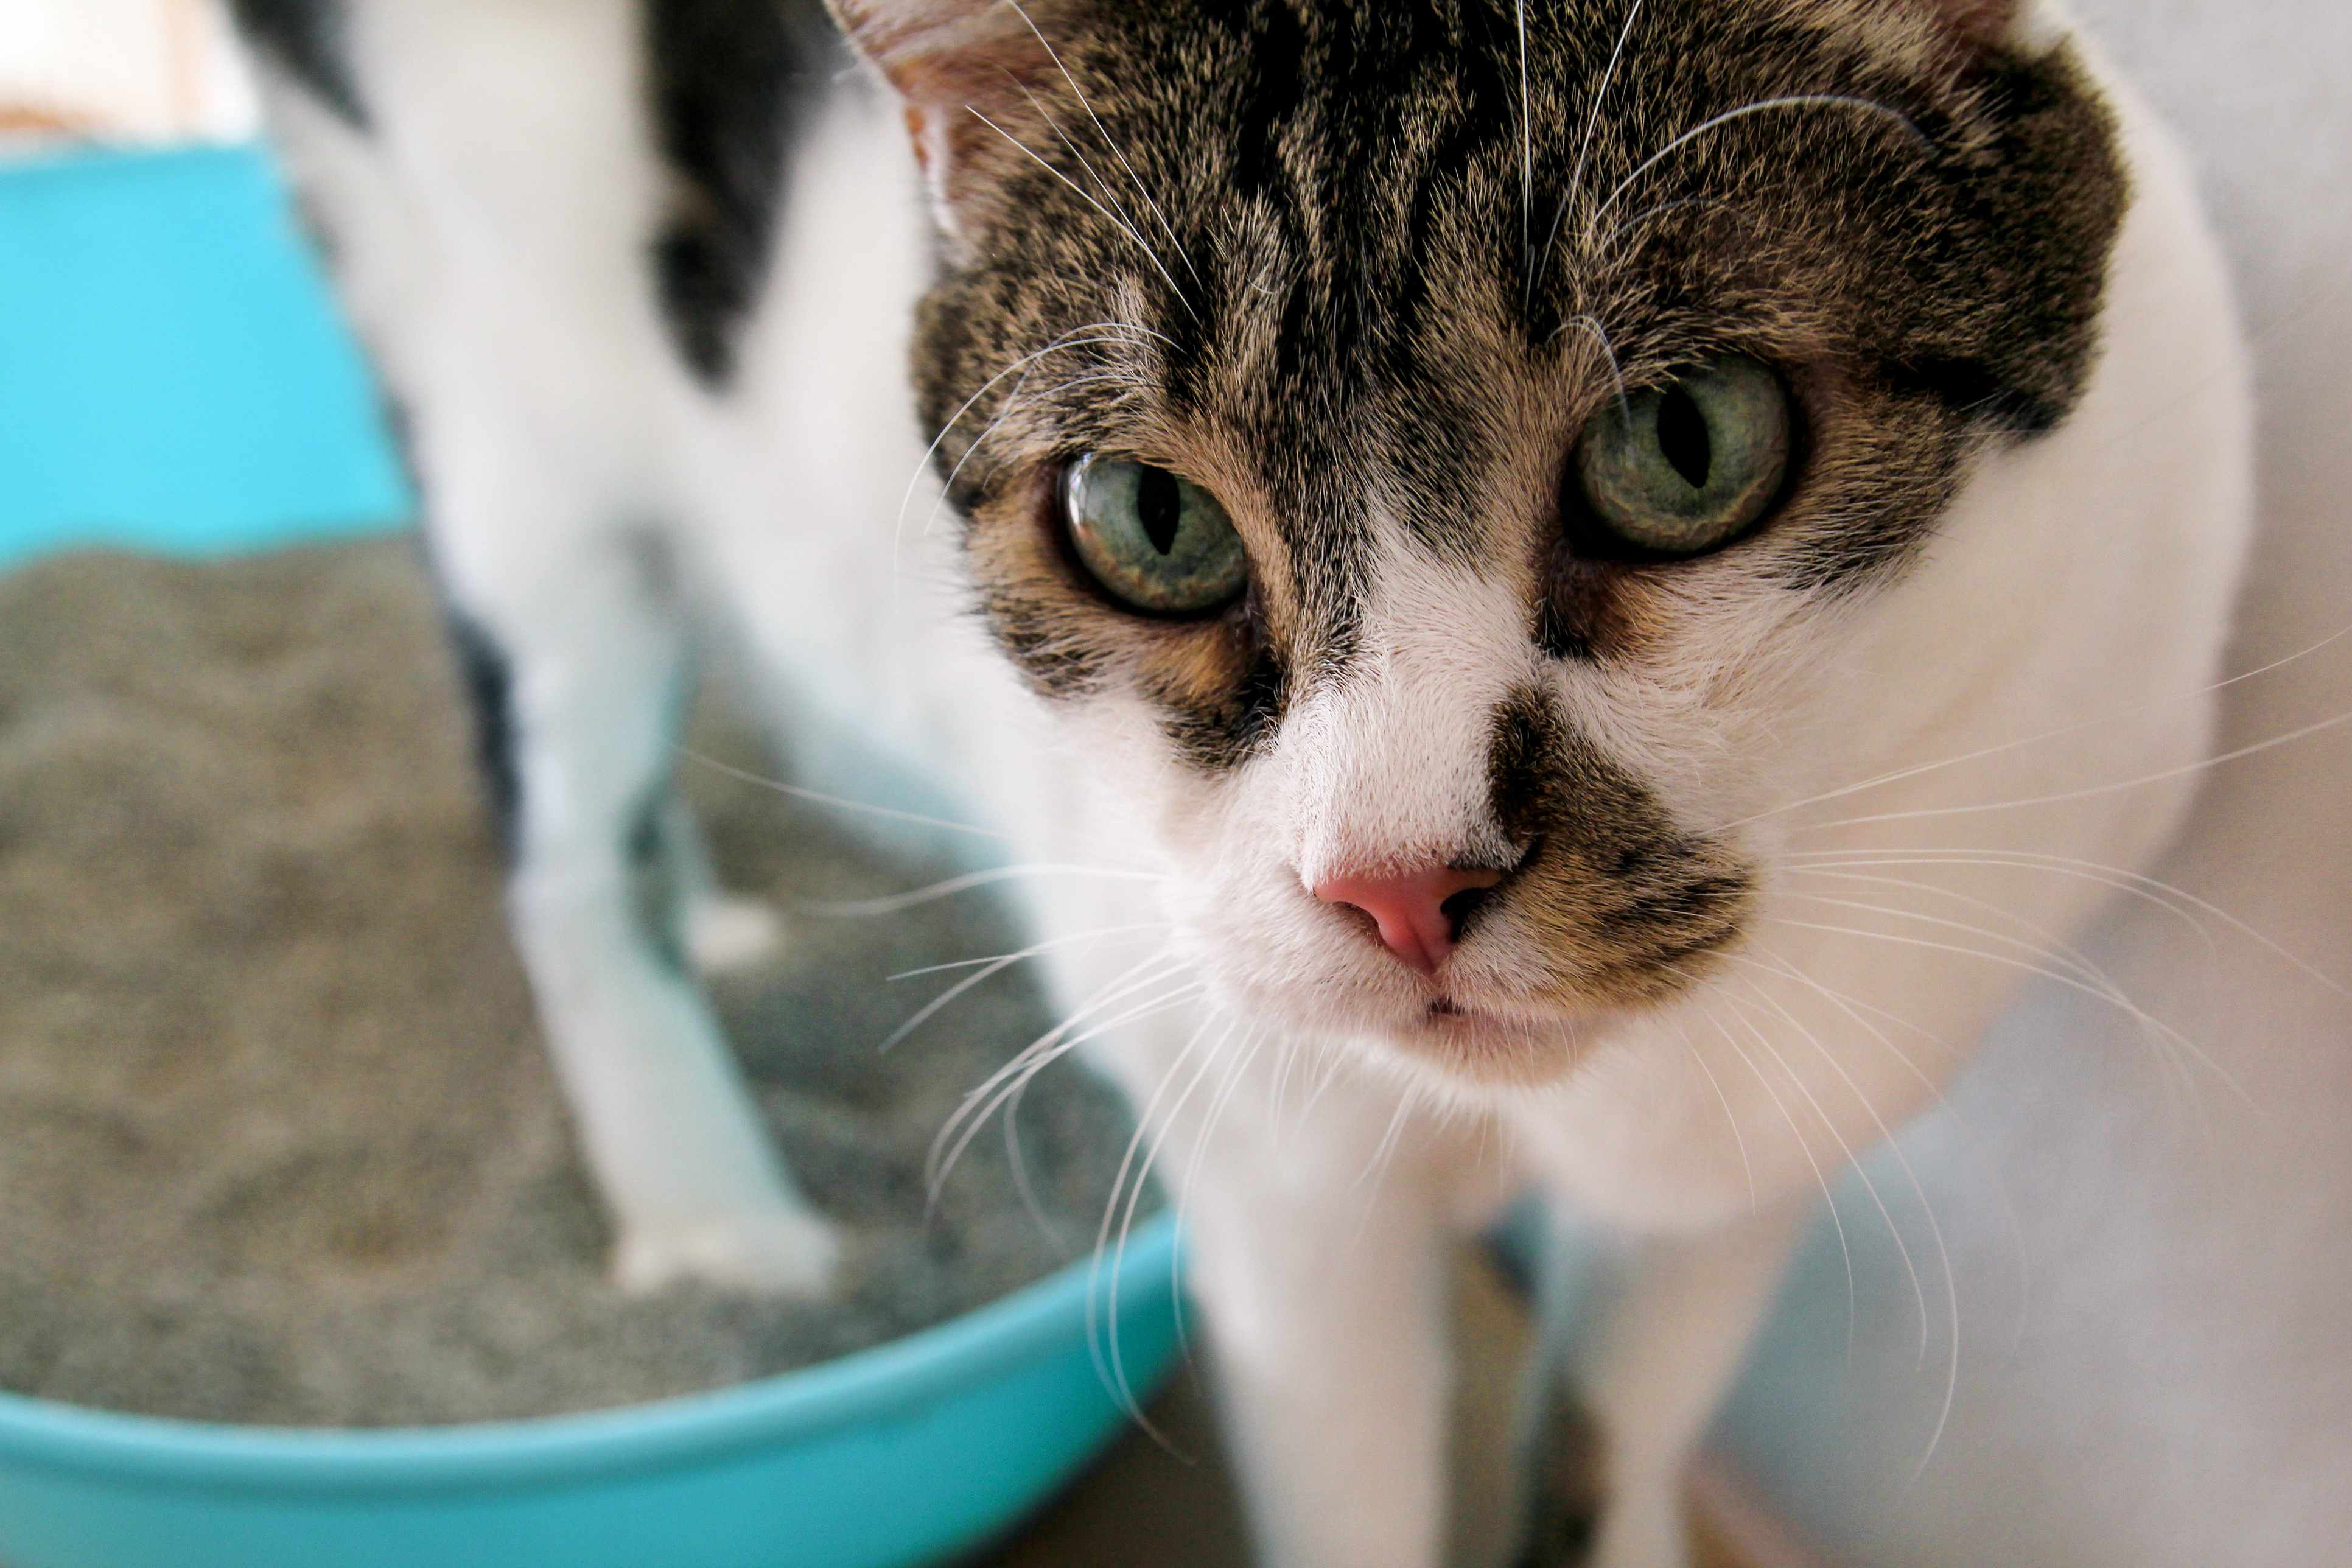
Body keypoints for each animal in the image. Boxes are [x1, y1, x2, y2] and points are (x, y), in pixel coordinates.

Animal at [229, 3, 2248, 1568]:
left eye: (1685, 444)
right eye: (1148, 519)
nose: (1397, 881)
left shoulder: (1735, 1175)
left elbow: (1606, 1450)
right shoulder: (1287, 1195)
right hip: (502, 422)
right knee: (564, 848)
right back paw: (717, 1228)